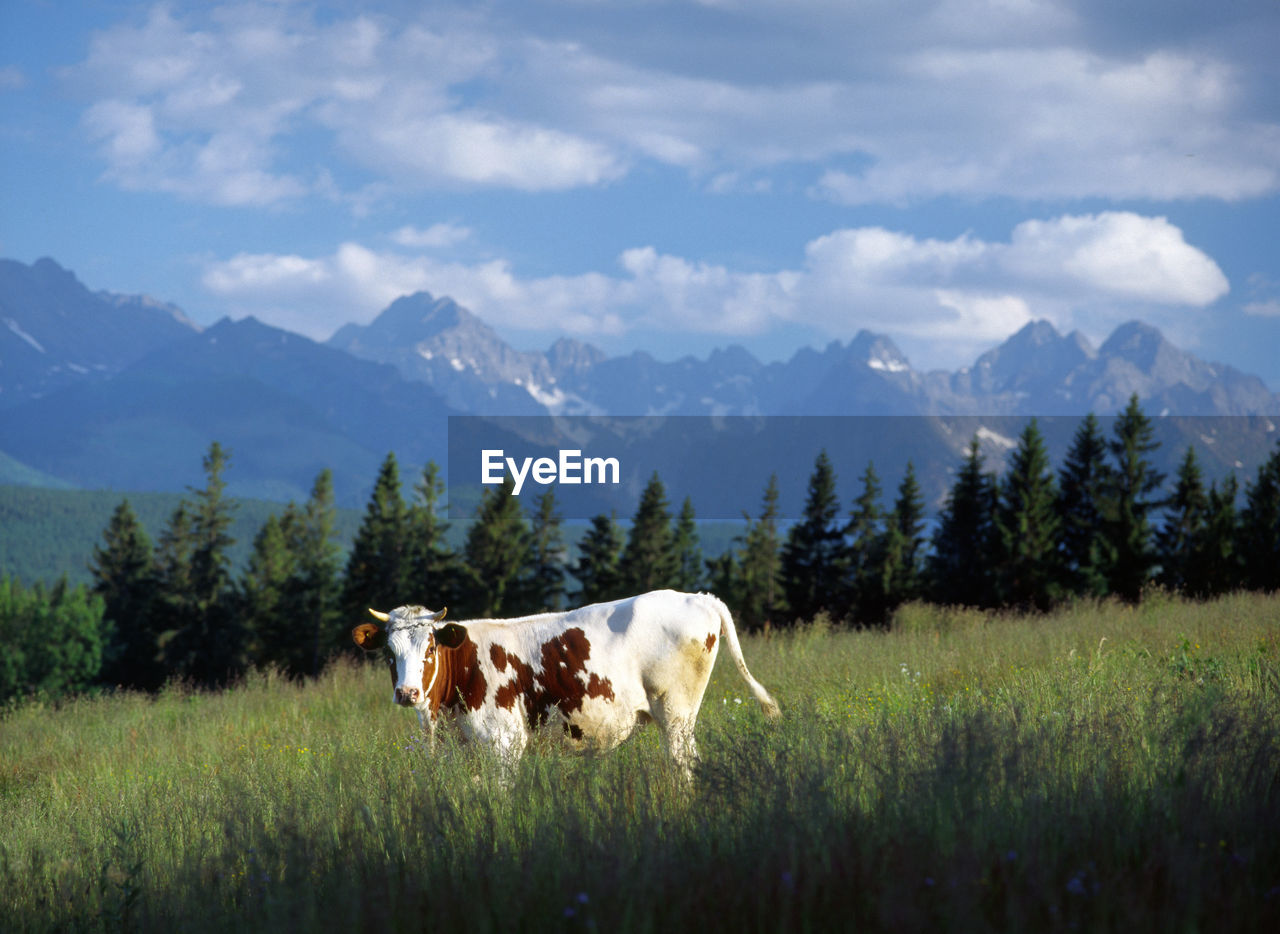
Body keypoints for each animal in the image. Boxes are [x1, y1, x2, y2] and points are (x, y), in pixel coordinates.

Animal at [355, 588, 783, 777]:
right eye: (389, 652)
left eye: (429, 648)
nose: (407, 693)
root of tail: (699, 597)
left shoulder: (504, 742)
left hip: (677, 713)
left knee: (684, 763)